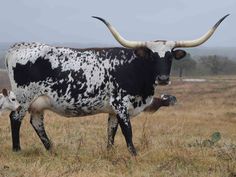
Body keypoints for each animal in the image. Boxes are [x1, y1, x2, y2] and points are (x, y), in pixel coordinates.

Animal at [5, 14, 229, 155]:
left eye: (170, 57)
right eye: (151, 56)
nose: (163, 78)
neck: (133, 67)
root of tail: (18, 46)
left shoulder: (113, 110)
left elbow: (111, 131)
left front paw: (110, 152)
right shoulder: (121, 105)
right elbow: (127, 131)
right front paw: (134, 154)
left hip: (39, 103)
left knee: (37, 123)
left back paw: (51, 149)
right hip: (24, 98)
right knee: (15, 118)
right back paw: (17, 150)